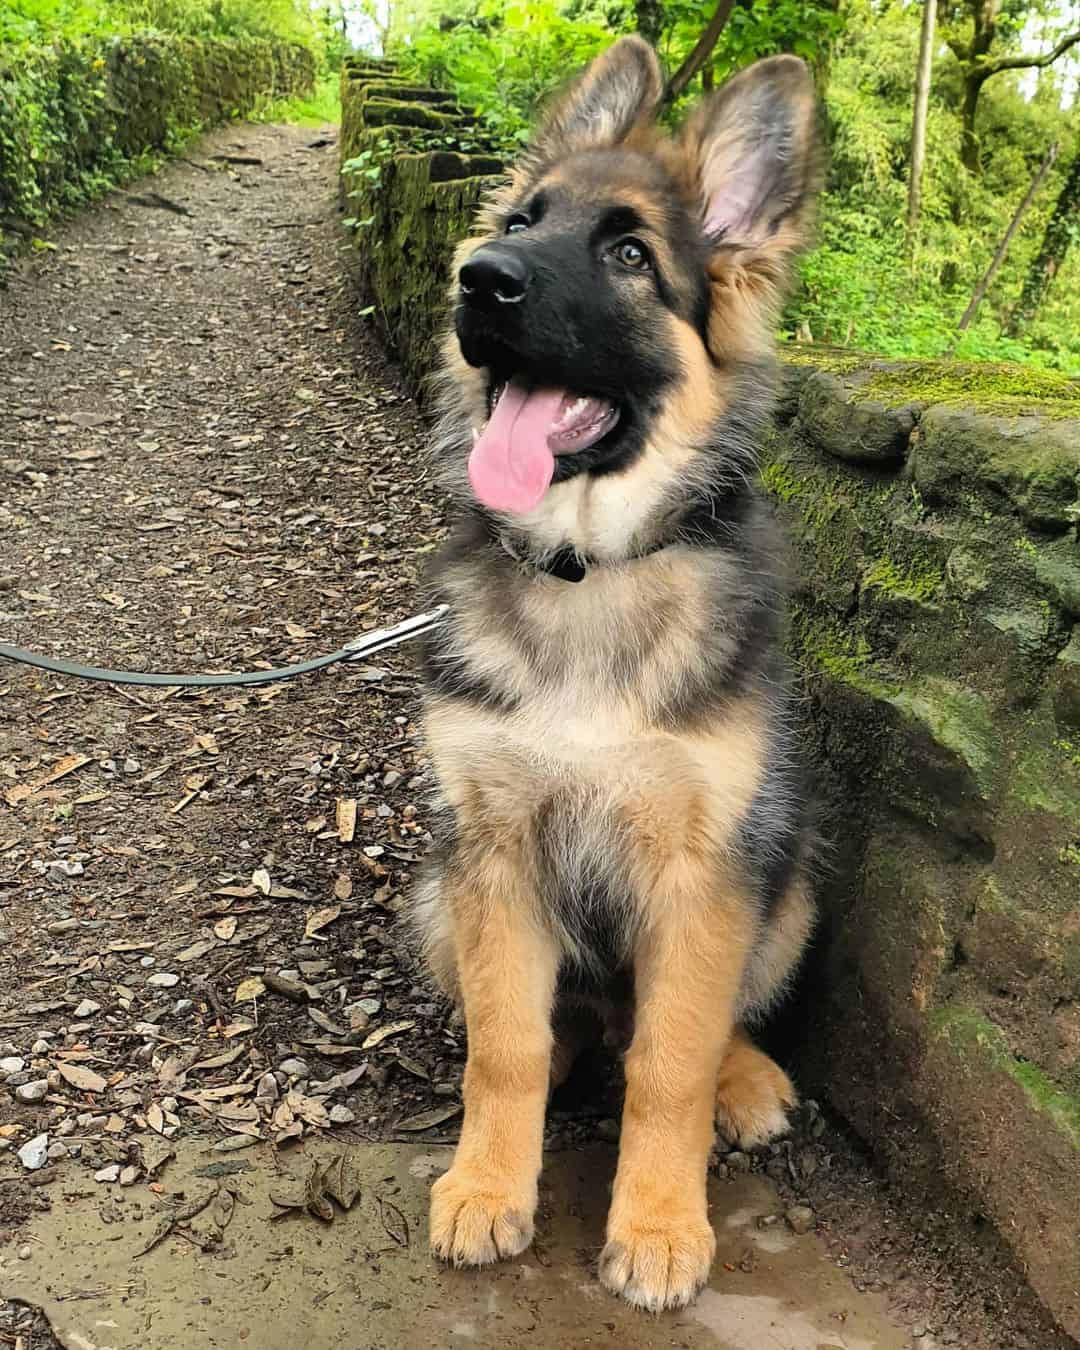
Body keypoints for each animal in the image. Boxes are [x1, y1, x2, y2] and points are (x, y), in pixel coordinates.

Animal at [410, 36, 820, 1312]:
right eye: (521, 220)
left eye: (631, 255)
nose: (477, 278)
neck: (586, 565)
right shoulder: (492, 851)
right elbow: (507, 1048)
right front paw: (489, 1184)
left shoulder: (704, 875)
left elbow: (671, 1064)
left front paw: (660, 1222)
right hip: (434, 897)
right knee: (560, 1026)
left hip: (787, 883)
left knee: (702, 1020)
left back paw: (748, 1080)